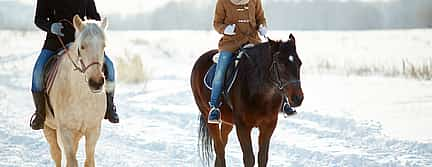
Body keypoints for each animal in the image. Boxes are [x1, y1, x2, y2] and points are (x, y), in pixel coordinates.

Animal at [42, 15, 108, 166]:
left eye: (104, 46)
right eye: (82, 46)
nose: (96, 83)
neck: (82, 96)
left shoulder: (93, 130)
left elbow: (89, 161)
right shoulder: (66, 131)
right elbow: (71, 161)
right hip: (48, 128)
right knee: (57, 154)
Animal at [191, 34, 306, 167]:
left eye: (299, 63)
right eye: (281, 64)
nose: (298, 98)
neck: (261, 94)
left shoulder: (268, 125)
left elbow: (262, 158)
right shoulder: (242, 127)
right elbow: (249, 158)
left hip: (227, 121)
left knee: (222, 144)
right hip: (208, 116)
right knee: (219, 148)